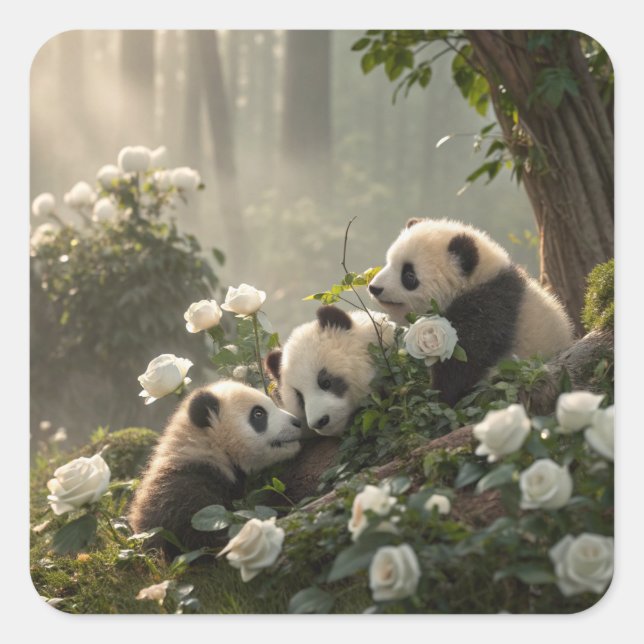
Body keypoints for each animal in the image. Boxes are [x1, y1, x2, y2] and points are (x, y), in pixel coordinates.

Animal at [367, 217, 575, 406]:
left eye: (409, 275)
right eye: (389, 262)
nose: (374, 288)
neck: (475, 280)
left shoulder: (484, 313)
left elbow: (460, 371)